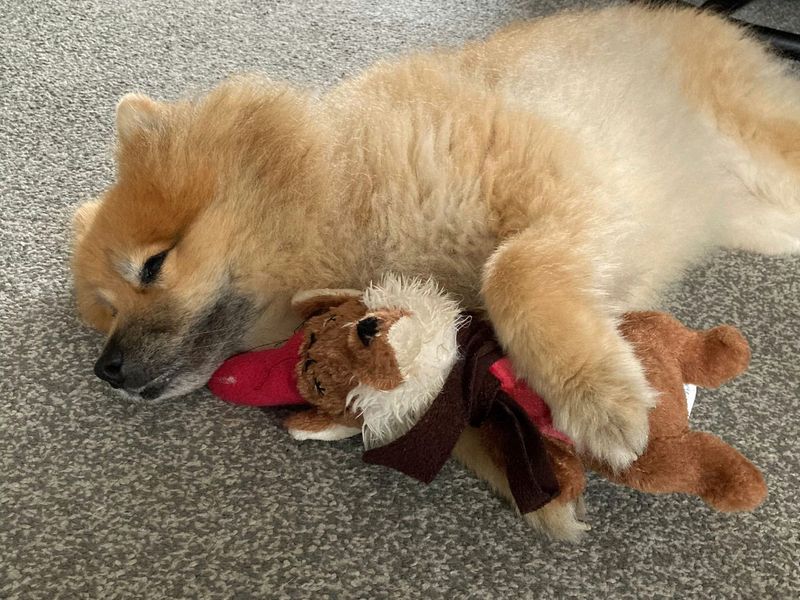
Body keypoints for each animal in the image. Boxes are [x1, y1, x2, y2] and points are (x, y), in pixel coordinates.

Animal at [71, 5, 800, 538]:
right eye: (107, 311)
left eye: (153, 266)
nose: (106, 369)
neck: (341, 188)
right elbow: (459, 406)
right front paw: (535, 482)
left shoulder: (571, 193)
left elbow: (511, 272)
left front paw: (601, 399)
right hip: (757, 216)